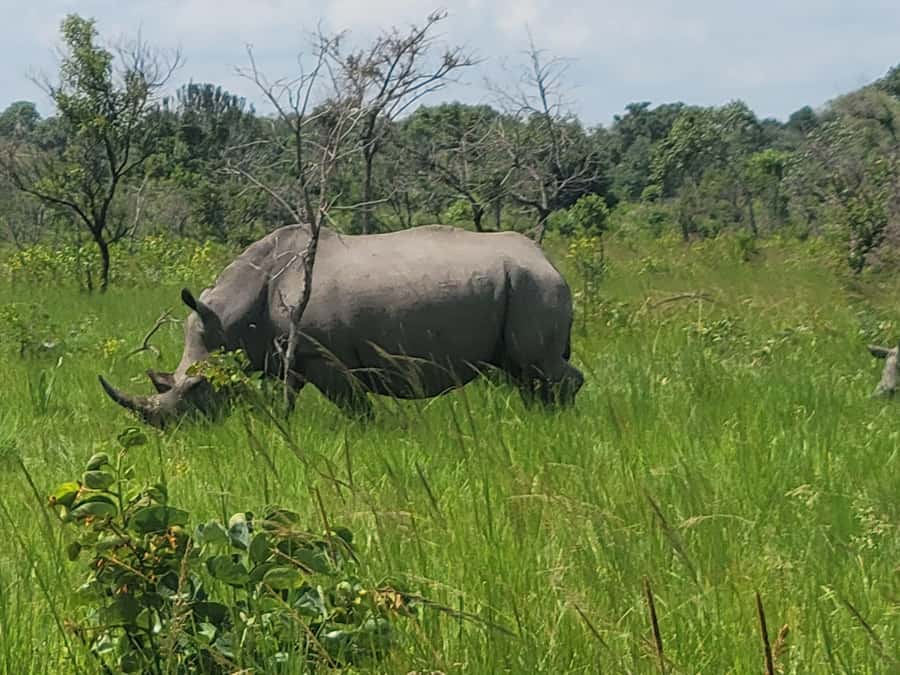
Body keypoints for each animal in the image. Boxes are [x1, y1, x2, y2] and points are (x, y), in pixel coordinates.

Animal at [99, 223, 584, 427]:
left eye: (198, 388)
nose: (170, 429)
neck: (232, 315)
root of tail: (549, 261)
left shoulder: (322, 354)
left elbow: (354, 404)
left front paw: (371, 432)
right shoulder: (289, 355)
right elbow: (287, 397)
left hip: (533, 285)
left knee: (535, 365)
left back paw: (555, 423)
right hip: (523, 284)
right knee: (522, 370)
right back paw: (538, 417)